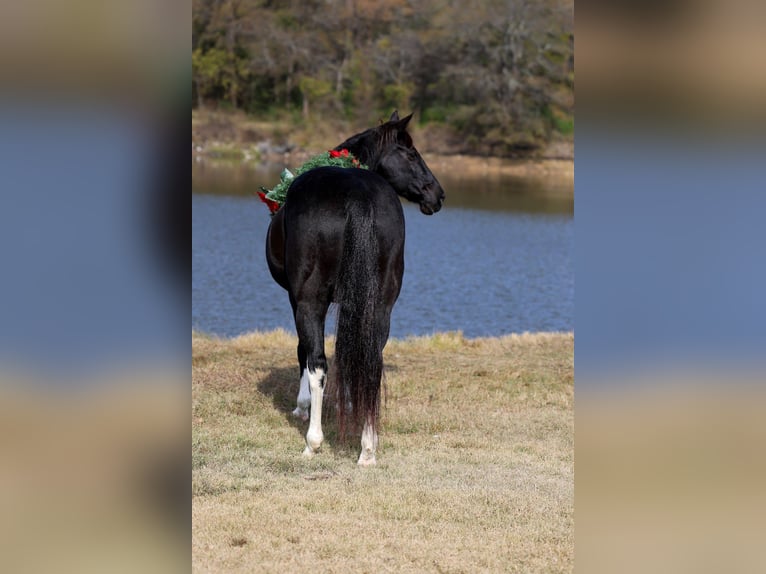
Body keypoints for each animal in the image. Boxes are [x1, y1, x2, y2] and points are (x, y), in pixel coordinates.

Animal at [265, 111, 444, 465]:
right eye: (411, 154)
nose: (438, 194)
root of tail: (358, 196)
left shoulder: (296, 298)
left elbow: (304, 351)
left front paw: (302, 407)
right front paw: (350, 406)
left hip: (310, 300)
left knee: (318, 363)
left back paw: (313, 443)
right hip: (381, 304)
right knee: (371, 362)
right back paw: (367, 448)